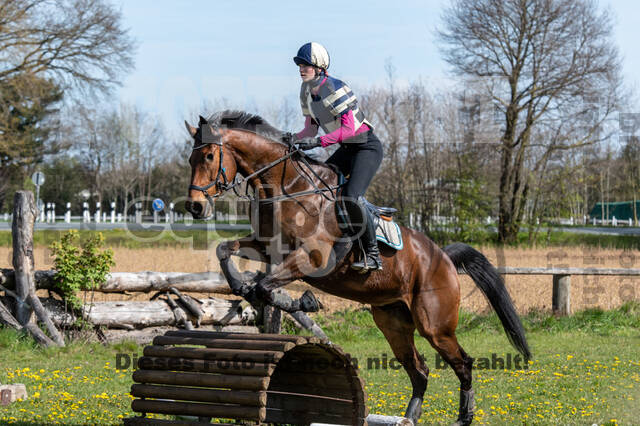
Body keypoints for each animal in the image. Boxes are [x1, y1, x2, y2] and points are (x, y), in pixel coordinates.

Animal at [184, 110, 528, 426]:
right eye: (190, 159)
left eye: (210, 155)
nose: (195, 207)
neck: (287, 188)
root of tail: (442, 256)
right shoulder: (268, 247)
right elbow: (226, 251)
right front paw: (241, 286)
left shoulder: (312, 258)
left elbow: (265, 286)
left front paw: (301, 301)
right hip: (392, 321)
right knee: (419, 370)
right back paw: (408, 418)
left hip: (435, 325)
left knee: (463, 363)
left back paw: (463, 417)